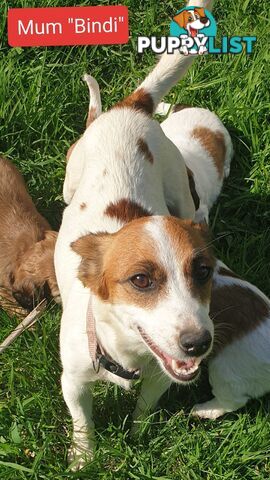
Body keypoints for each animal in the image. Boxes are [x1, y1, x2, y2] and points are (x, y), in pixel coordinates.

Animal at [54, 0, 215, 468]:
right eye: (140, 280)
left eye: (203, 272)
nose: (199, 343)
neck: (128, 355)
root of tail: (132, 107)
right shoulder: (73, 382)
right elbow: (82, 421)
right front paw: (83, 458)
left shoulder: (162, 377)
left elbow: (145, 406)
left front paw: (140, 435)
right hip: (71, 178)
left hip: (179, 187)